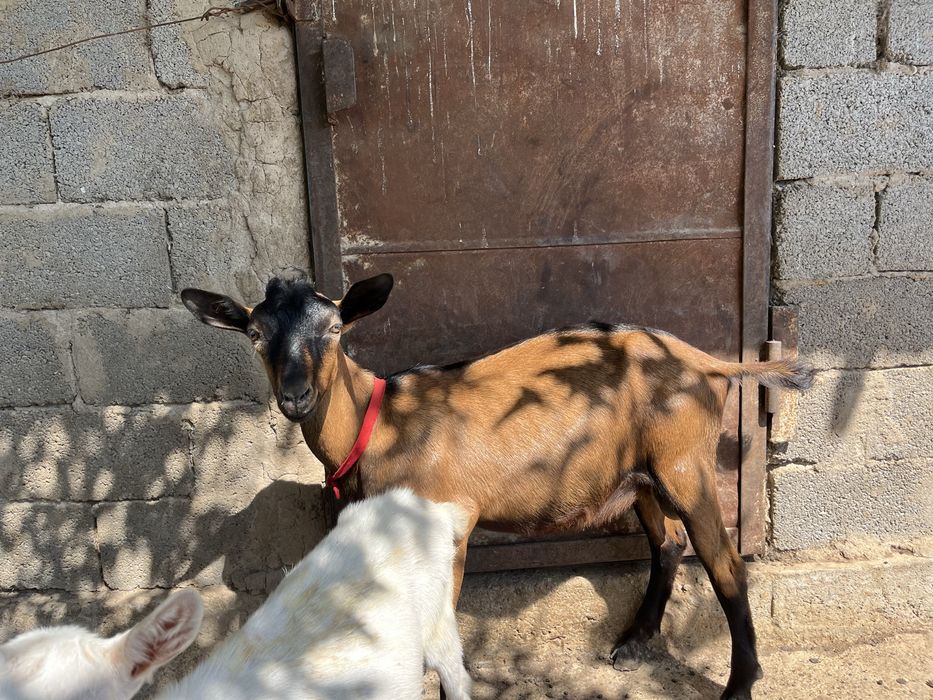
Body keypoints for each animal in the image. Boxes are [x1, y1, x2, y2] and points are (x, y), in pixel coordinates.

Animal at [181, 270, 813, 700]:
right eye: (255, 334)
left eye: (336, 328)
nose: (296, 396)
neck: (378, 423)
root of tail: (711, 364)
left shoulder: (450, 522)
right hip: (641, 476)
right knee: (669, 544)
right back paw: (633, 644)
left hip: (685, 464)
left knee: (725, 563)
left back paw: (740, 684)